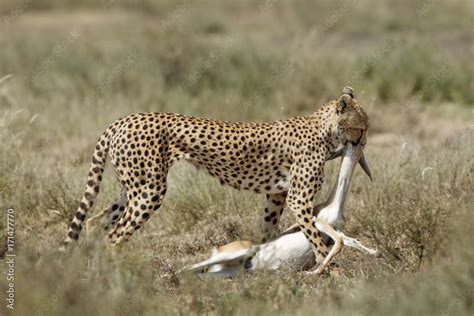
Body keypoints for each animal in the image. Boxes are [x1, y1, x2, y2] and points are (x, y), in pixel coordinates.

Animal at [62, 86, 370, 274]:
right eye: (361, 127)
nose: (364, 142)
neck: (324, 130)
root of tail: (124, 119)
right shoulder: (298, 199)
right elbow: (316, 238)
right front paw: (331, 272)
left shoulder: (276, 196)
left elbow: (269, 230)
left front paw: (261, 259)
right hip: (150, 191)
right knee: (114, 236)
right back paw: (117, 273)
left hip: (133, 188)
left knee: (93, 222)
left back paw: (92, 269)